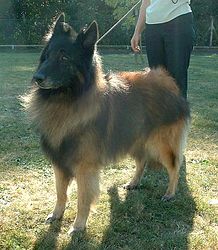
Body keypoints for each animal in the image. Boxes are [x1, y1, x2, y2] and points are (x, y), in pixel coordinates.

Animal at [21, 13, 190, 235]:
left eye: (64, 58)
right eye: (47, 56)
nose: (37, 78)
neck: (67, 100)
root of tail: (169, 82)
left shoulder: (85, 167)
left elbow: (82, 199)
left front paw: (78, 226)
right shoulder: (60, 161)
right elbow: (60, 193)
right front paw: (57, 214)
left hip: (160, 143)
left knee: (174, 166)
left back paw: (170, 193)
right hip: (135, 137)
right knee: (142, 161)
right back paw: (133, 183)